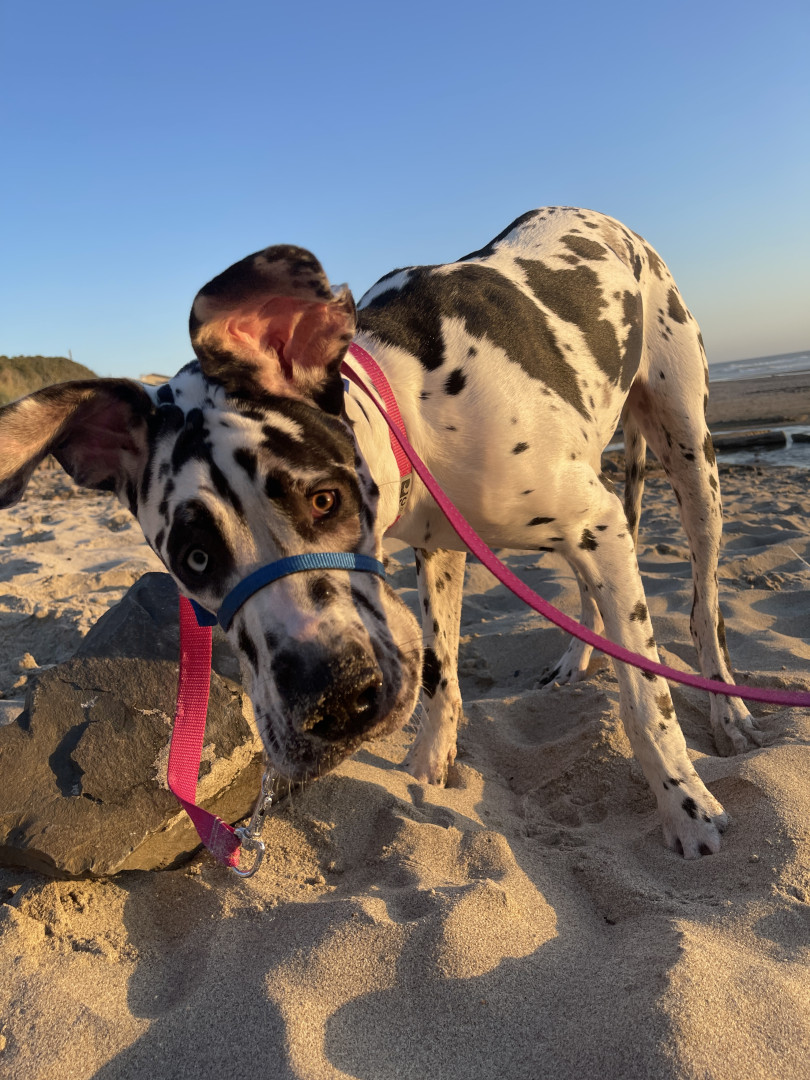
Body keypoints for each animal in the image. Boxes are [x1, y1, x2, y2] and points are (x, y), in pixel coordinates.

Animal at [0, 207, 759, 858]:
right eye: (194, 558)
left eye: (325, 499)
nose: (334, 704)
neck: (416, 405)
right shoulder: (446, 549)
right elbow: (442, 671)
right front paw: (429, 768)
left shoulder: (593, 523)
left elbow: (647, 700)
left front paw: (685, 809)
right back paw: (580, 657)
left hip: (688, 458)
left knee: (703, 605)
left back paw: (725, 709)